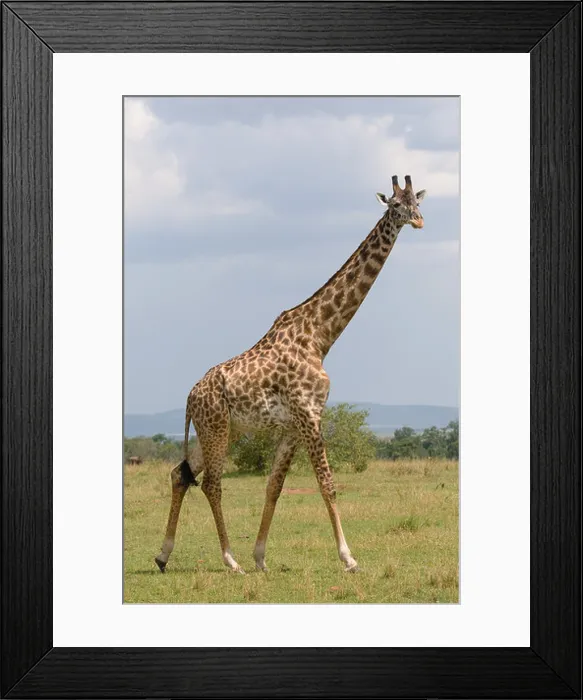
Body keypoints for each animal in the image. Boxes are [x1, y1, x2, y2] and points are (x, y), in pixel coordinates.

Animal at [155, 175, 426, 574]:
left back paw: (163, 555)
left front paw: (261, 557)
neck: (320, 335)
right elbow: (327, 484)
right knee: (211, 484)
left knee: (181, 473)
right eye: (395, 206)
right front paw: (349, 558)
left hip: (218, 431)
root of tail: (190, 397)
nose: (419, 221)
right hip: (216, 428)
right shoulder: (310, 415)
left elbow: (274, 486)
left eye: (417, 202)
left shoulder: (294, 424)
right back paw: (229, 559)